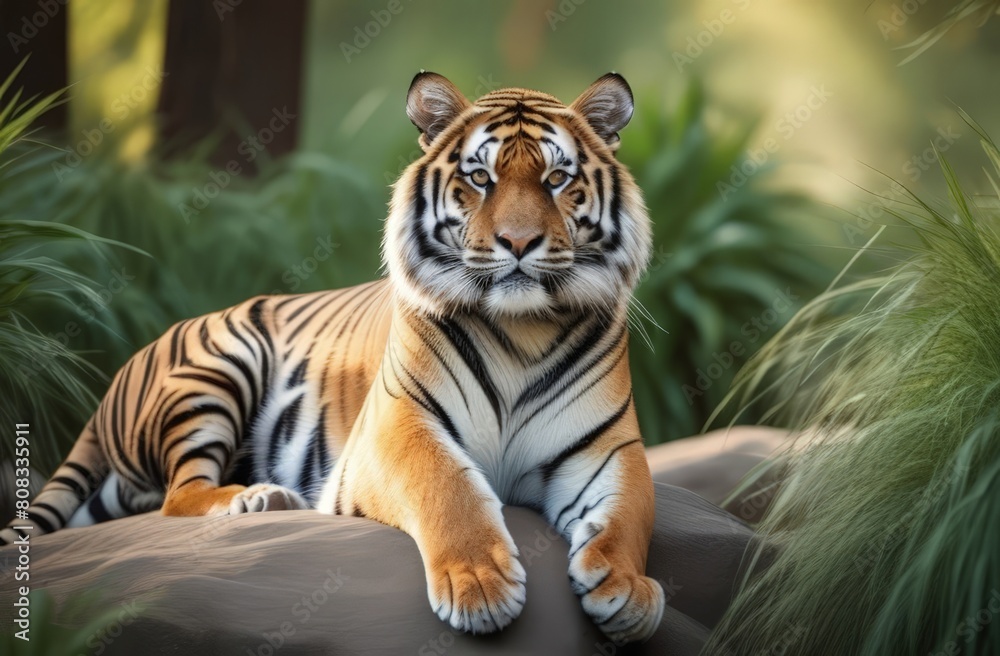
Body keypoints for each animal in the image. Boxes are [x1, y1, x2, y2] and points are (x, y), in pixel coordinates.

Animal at [1, 72, 664, 642]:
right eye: (480, 178)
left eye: (557, 180)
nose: (519, 242)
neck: (521, 330)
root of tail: (114, 382)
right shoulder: (398, 426)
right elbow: (447, 487)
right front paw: (479, 587)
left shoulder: (608, 446)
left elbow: (630, 511)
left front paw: (627, 590)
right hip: (221, 366)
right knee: (177, 496)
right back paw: (257, 498)